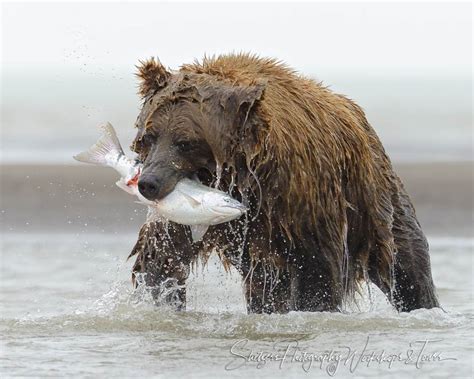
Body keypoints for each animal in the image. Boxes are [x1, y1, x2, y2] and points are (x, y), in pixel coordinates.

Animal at [128, 53, 438, 314]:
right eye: (149, 136)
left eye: (185, 142)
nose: (149, 183)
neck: (240, 176)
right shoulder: (189, 207)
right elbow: (162, 255)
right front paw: (162, 301)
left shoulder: (303, 200)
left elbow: (318, 272)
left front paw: (314, 307)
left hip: (375, 202)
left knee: (407, 264)